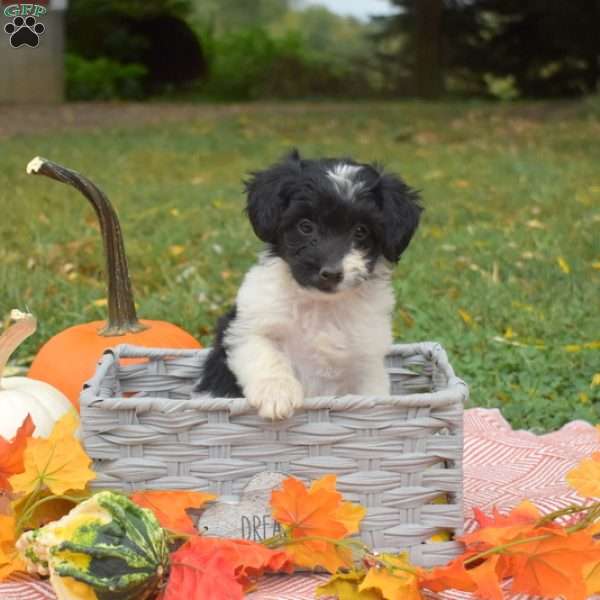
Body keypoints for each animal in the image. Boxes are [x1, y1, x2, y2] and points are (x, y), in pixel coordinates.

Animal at [193, 152, 422, 420]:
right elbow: (265, 354)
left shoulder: (366, 360)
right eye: (305, 225)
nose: (330, 273)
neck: (320, 306)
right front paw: (277, 393)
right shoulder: (246, 327)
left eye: (361, 231)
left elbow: (370, 393)